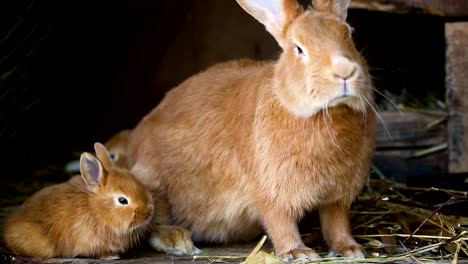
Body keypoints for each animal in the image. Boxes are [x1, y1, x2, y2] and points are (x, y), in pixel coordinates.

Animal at [128, 0, 376, 260]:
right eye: (298, 49)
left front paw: (351, 249)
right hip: (152, 183)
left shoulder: (337, 197)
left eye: (349, 34)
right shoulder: (272, 192)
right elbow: (281, 223)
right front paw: (298, 252)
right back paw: (177, 240)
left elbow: (337, 223)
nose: (345, 71)